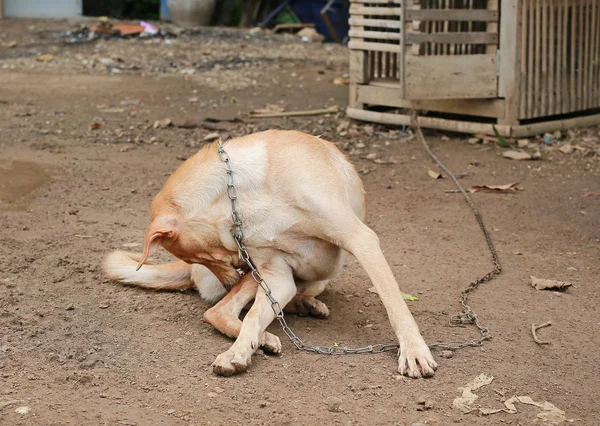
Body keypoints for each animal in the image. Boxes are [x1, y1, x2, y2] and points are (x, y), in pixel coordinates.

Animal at [103, 131, 438, 380]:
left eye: (199, 255)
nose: (228, 279)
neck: (244, 195)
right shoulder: (273, 275)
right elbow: (251, 316)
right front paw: (237, 353)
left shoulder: (361, 240)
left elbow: (395, 305)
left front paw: (414, 351)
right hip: (257, 276)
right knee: (219, 312)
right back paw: (265, 337)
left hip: (287, 275)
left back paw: (304, 306)